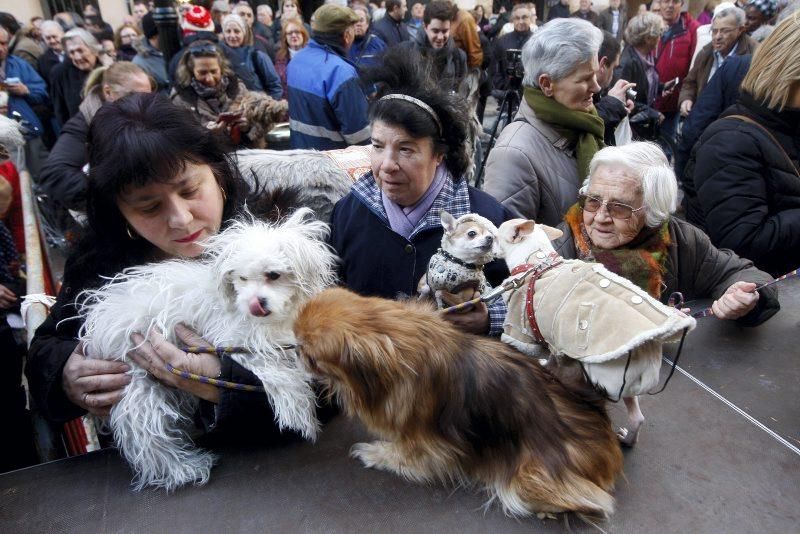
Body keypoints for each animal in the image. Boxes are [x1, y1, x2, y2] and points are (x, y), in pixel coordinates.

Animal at [82, 209, 340, 494]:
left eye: (273, 275)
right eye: (241, 278)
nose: (254, 304)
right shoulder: (236, 341)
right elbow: (275, 373)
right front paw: (299, 411)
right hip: (138, 383)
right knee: (147, 436)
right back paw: (182, 468)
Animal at [294, 288, 624, 524]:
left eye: (312, 357)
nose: (294, 350)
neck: (392, 336)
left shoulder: (423, 440)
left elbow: (404, 453)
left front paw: (376, 454)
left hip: (527, 479)